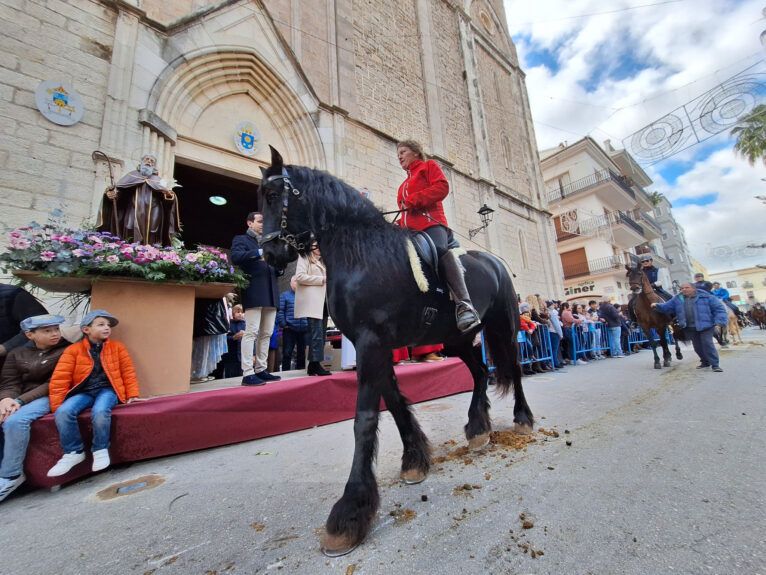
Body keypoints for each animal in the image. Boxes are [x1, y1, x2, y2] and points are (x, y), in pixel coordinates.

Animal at [258, 147, 536, 560]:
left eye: (275, 195)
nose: (270, 254)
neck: (363, 254)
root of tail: (495, 261)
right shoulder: (374, 344)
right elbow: (394, 402)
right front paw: (415, 460)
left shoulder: (371, 342)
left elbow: (365, 419)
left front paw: (349, 514)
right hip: (455, 339)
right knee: (480, 373)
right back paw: (477, 428)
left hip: (504, 326)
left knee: (513, 369)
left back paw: (522, 418)